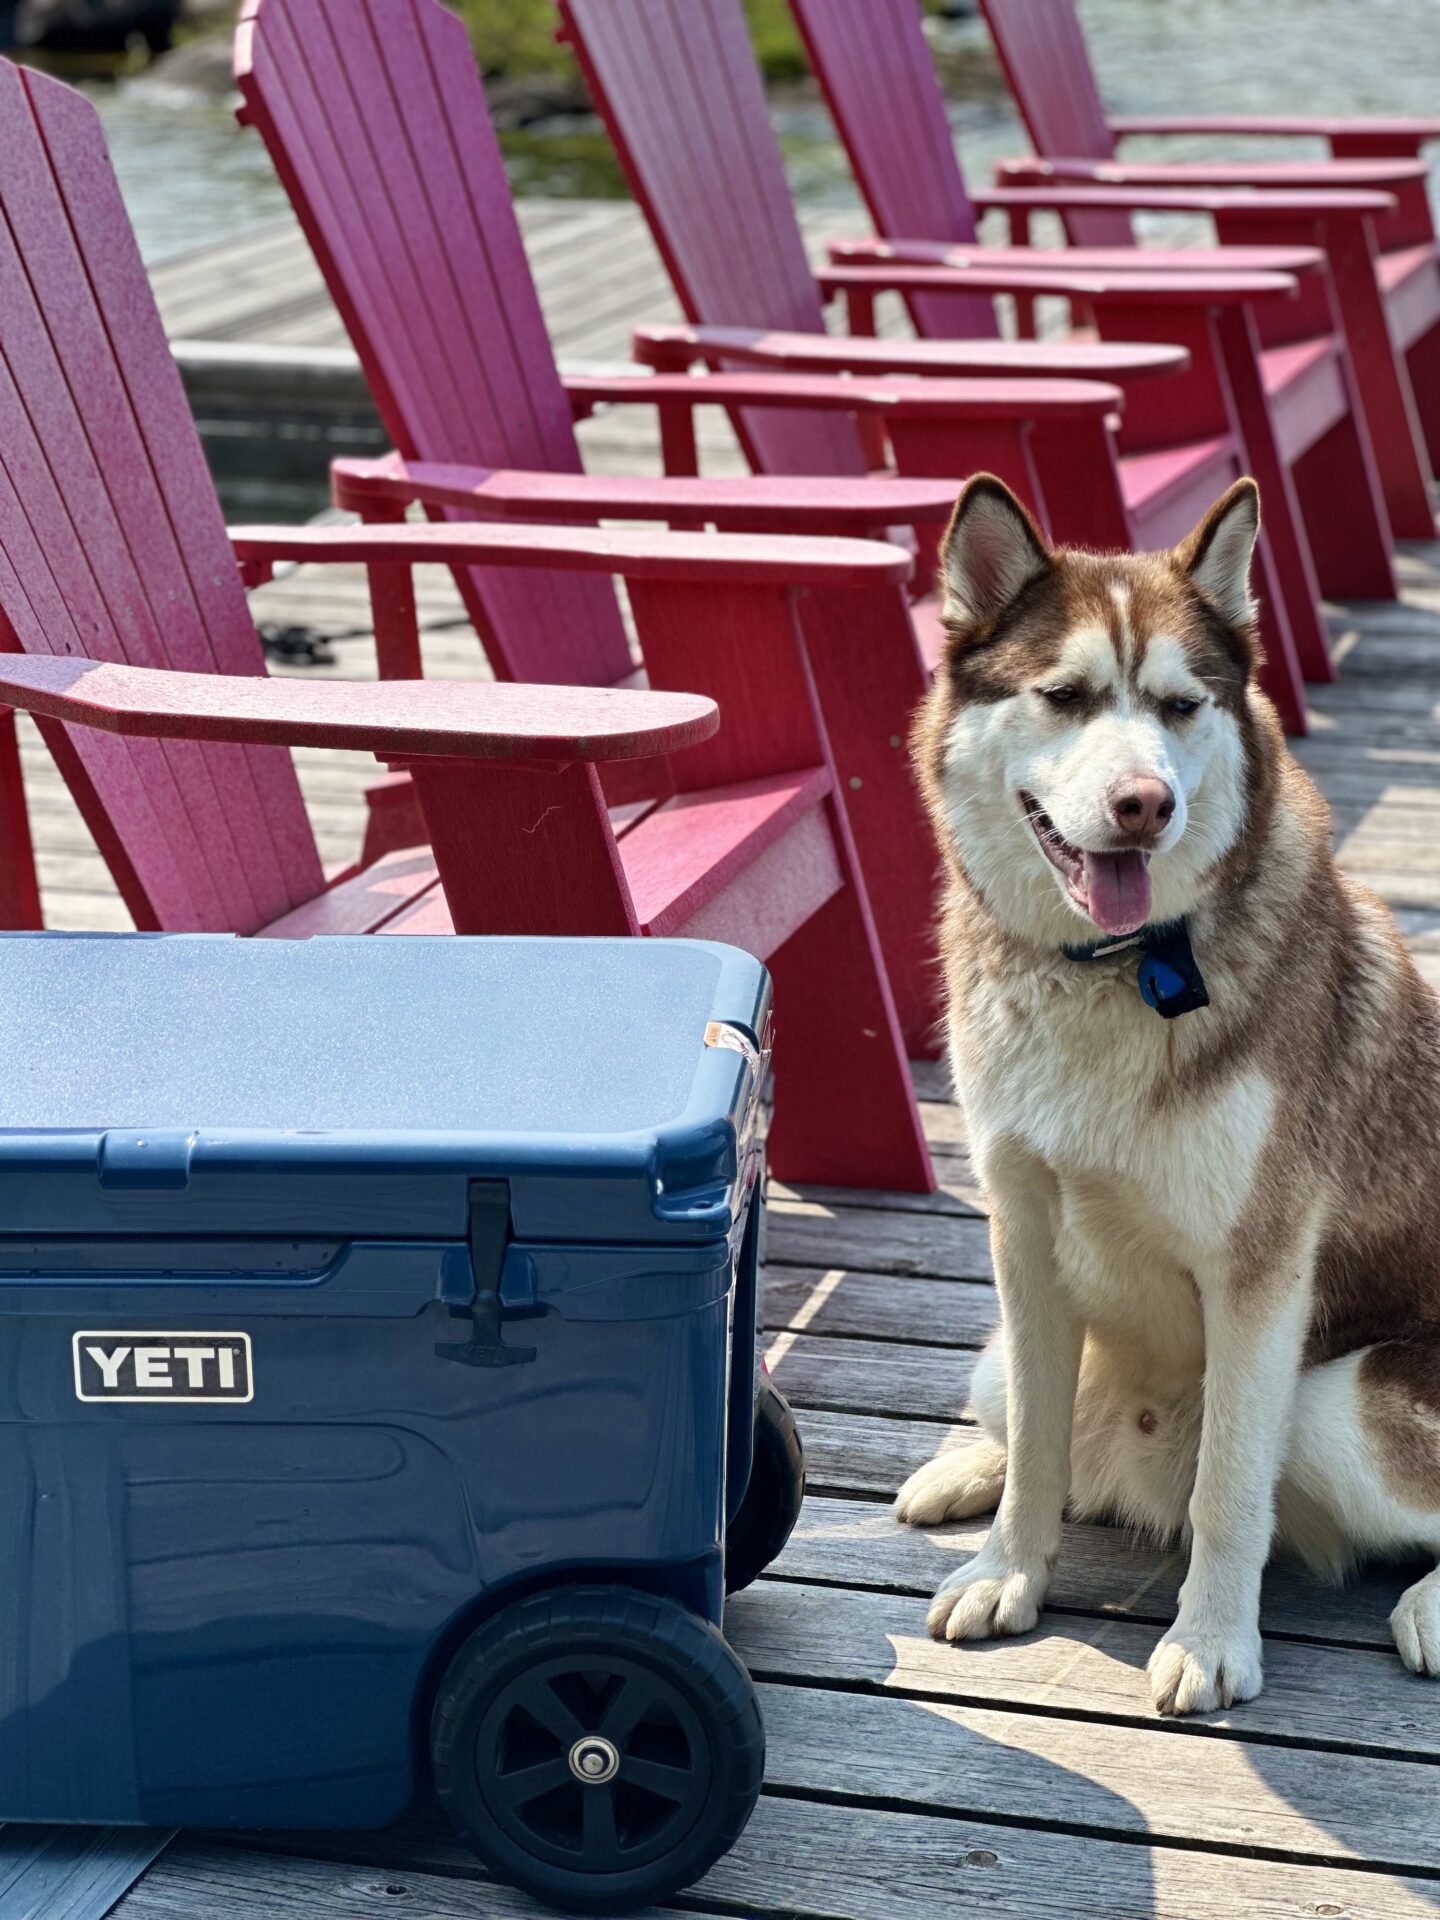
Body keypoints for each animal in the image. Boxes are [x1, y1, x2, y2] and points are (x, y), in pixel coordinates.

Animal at [906, 476, 1440, 1712]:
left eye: (1180, 705)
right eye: (1063, 697)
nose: (1143, 803)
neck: (1113, 969)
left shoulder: (1259, 1277)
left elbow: (1227, 1490)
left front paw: (1210, 1641)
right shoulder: (1022, 1238)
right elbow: (1039, 1450)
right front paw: (1007, 1568)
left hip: (1339, 1408)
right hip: (993, 1358)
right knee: (1038, 1433)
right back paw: (964, 1470)